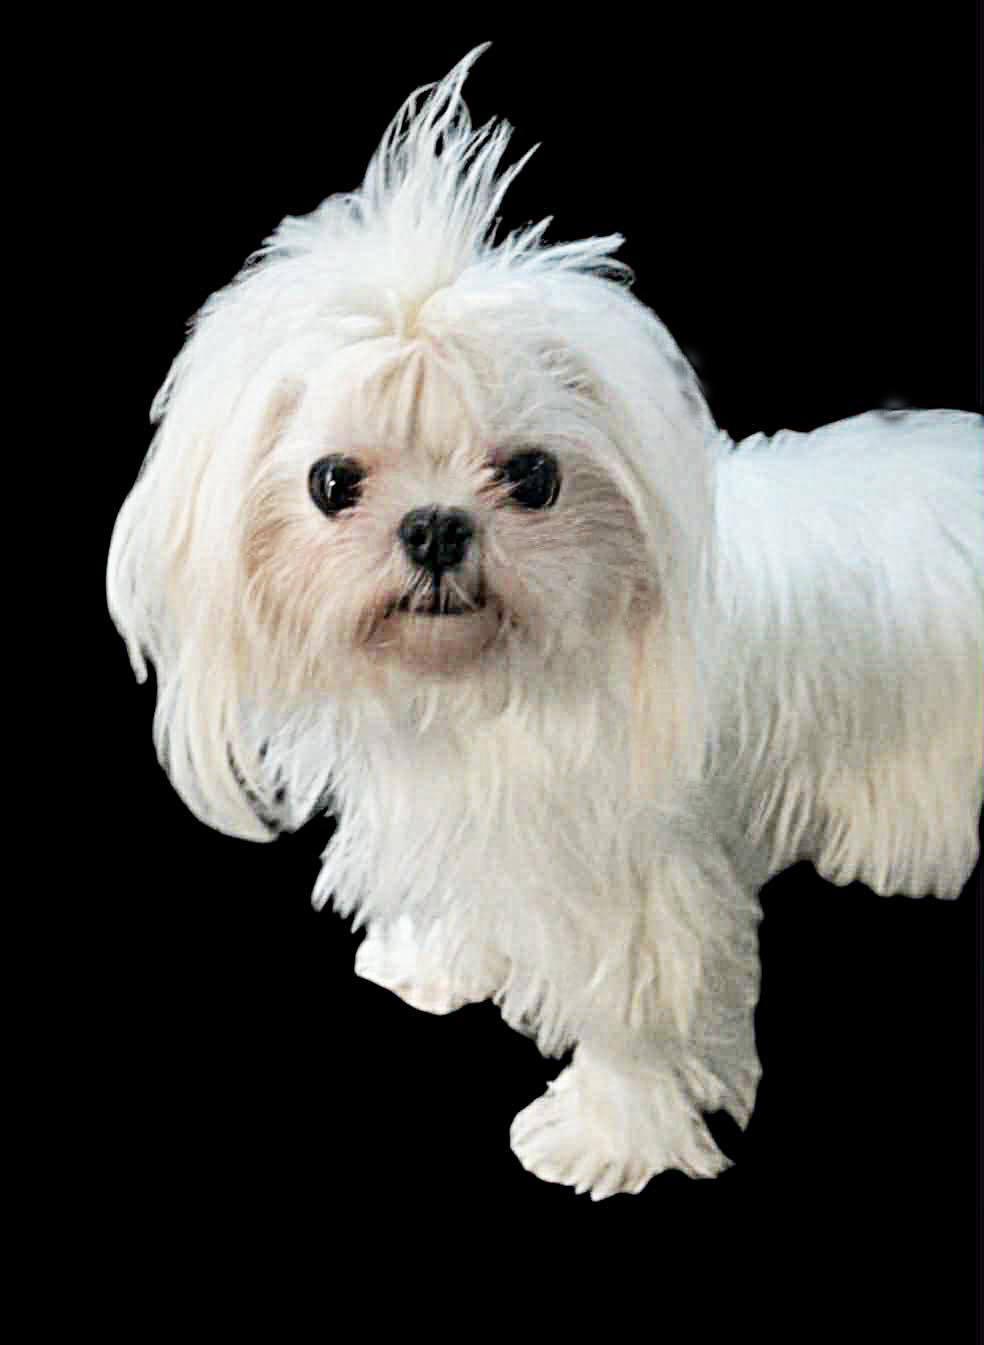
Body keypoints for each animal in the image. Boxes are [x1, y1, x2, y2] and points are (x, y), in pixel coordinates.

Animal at [107, 46, 983, 1197]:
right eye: (333, 482)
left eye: (533, 477)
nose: (437, 526)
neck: (482, 691)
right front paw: (441, 961)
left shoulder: (636, 872)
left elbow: (638, 1010)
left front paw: (610, 1134)